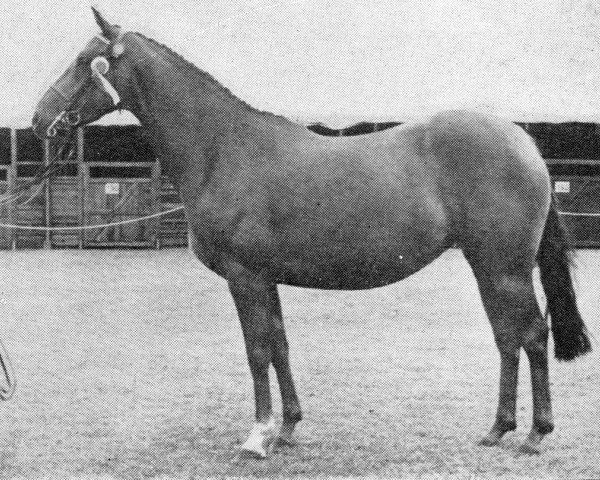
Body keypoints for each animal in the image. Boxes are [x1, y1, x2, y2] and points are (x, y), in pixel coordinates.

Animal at [31, 7, 592, 458]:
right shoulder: (266, 280)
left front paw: (257, 437)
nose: (39, 120)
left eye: (85, 61)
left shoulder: (246, 278)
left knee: (531, 335)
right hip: (489, 267)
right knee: (506, 337)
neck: (224, 150)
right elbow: (280, 345)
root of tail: (523, 141)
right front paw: (287, 430)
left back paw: (535, 435)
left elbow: (257, 351)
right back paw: (498, 430)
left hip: (505, 268)